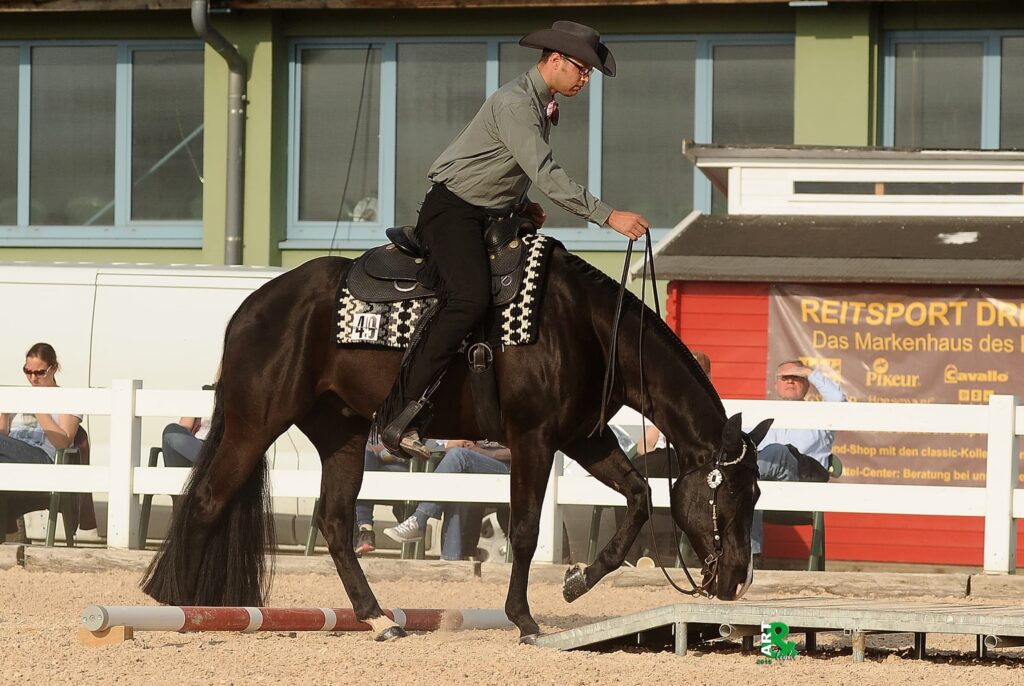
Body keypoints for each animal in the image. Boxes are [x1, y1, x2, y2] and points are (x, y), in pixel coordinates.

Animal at [141, 243, 772, 641]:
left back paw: (378, 619)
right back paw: (182, 605)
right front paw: (523, 619)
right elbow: (524, 530)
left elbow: (640, 497)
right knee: (207, 502)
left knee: (336, 523)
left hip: (342, 434)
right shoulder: (534, 439)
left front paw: (576, 583)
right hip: (256, 423)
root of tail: (251, 308)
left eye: (758, 495)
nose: (737, 579)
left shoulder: (584, 438)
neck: (589, 330)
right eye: (731, 494)